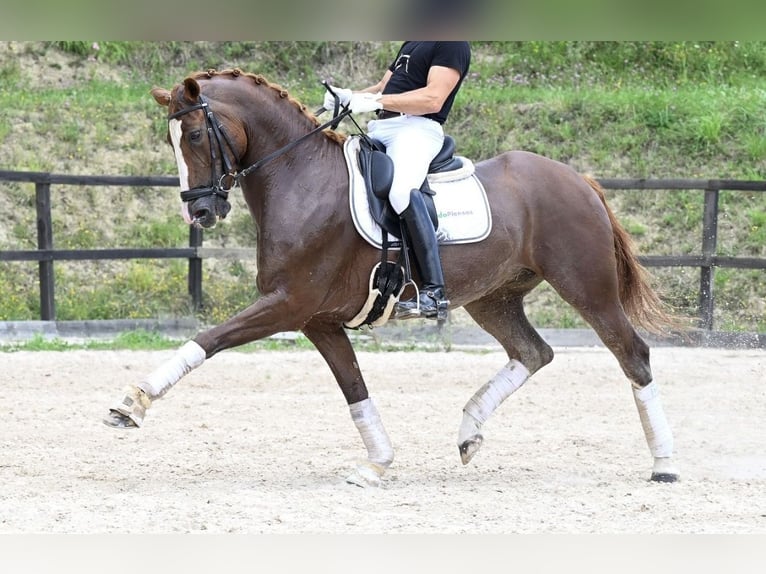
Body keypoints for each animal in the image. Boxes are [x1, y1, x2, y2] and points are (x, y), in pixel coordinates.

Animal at [102, 70, 680, 488]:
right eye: (172, 141)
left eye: (197, 134)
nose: (200, 212)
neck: (301, 178)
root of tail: (578, 178)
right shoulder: (317, 319)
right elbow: (354, 389)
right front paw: (377, 462)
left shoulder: (288, 303)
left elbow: (207, 339)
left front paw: (132, 403)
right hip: (494, 297)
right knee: (533, 352)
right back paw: (469, 432)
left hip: (587, 286)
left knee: (632, 354)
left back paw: (665, 465)